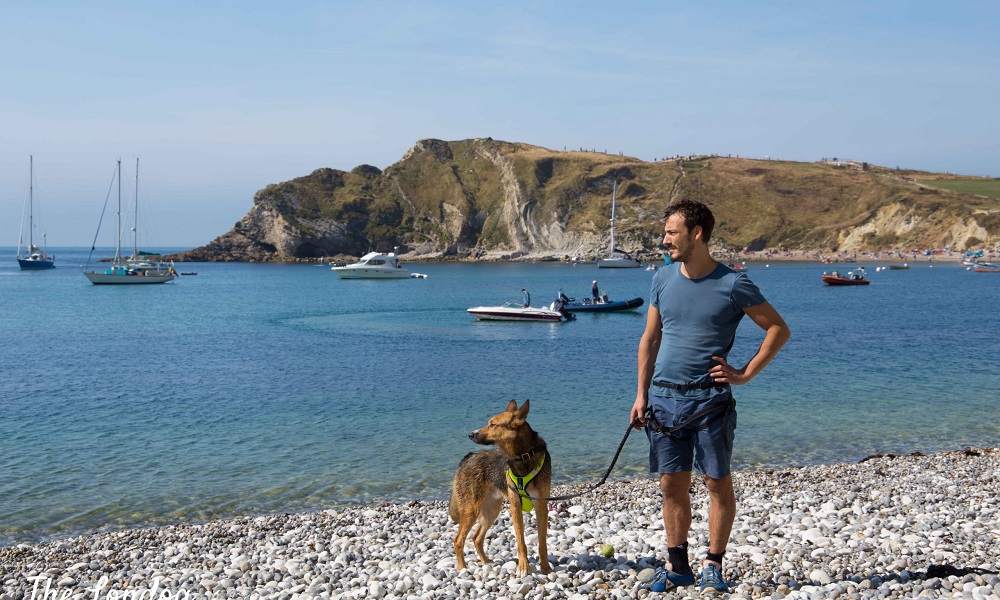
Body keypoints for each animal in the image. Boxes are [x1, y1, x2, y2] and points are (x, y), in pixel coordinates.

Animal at [450, 400, 552, 576]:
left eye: (492, 424)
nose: (470, 434)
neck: (524, 456)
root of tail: (467, 458)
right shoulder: (515, 506)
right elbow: (521, 541)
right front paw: (523, 567)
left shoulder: (541, 506)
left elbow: (542, 542)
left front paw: (545, 568)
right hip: (472, 510)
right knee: (458, 540)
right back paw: (462, 568)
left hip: (491, 511)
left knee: (476, 538)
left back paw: (485, 562)